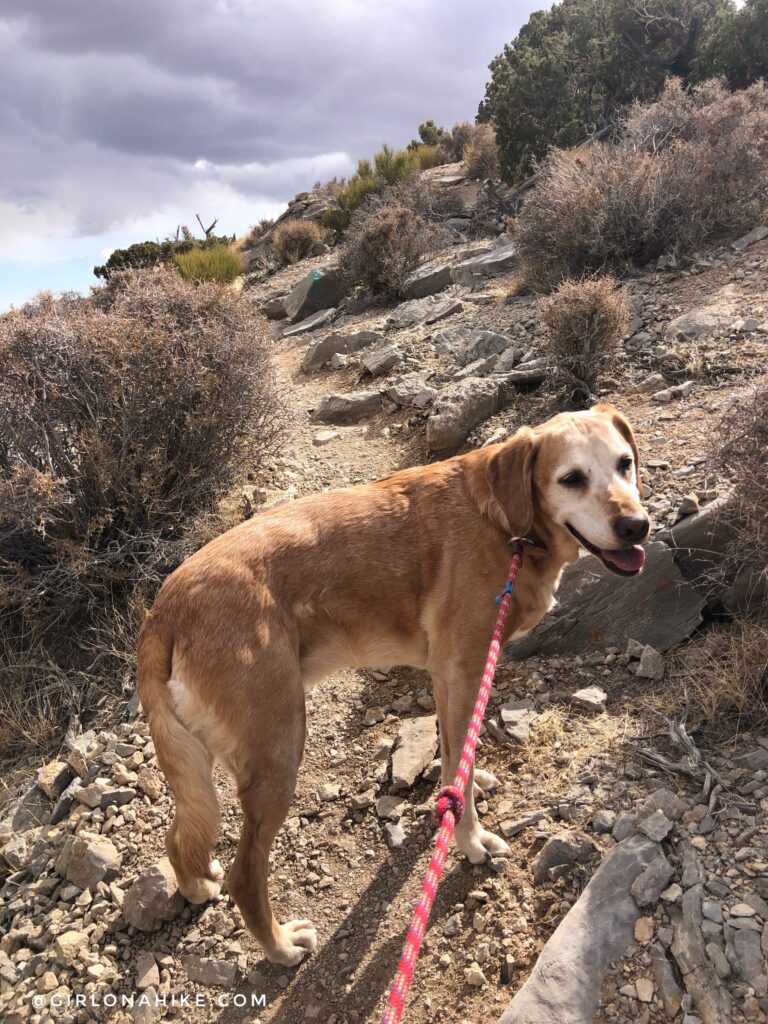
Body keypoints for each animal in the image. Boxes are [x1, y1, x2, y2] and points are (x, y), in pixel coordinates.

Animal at [138, 403, 651, 962]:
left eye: (625, 464)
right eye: (571, 479)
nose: (636, 525)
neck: (504, 522)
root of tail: (164, 610)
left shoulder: (449, 677)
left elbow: (455, 754)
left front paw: (468, 782)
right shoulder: (462, 667)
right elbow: (459, 764)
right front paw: (470, 841)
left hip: (201, 756)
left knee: (179, 834)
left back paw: (195, 886)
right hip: (278, 747)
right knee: (245, 874)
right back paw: (281, 947)